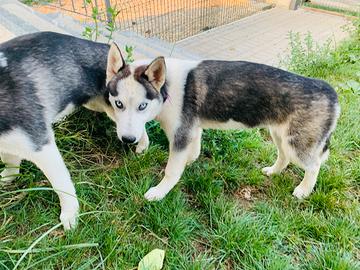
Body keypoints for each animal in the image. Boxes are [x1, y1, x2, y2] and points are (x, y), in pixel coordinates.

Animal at [0, 31, 149, 230]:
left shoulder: (40, 145)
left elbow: (61, 183)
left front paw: (70, 214)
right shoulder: (12, 142)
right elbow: (11, 165)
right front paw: (6, 178)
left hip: (114, 109)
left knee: (138, 122)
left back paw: (143, 146)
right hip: (92, 104)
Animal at [105, 43, 340, 201]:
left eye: (142, 106)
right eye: (118, 104)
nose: (128, 139)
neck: (166, 89)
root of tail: (330, 91)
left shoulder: (181, 135)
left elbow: (171, 170)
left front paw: (160, 192)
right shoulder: (192, 130)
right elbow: (193, 152)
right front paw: (189, 162)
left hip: (297, 144)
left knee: (314, 165)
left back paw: (304, 190)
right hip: (280, 136)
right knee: (284, 157)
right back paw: (274, 171)